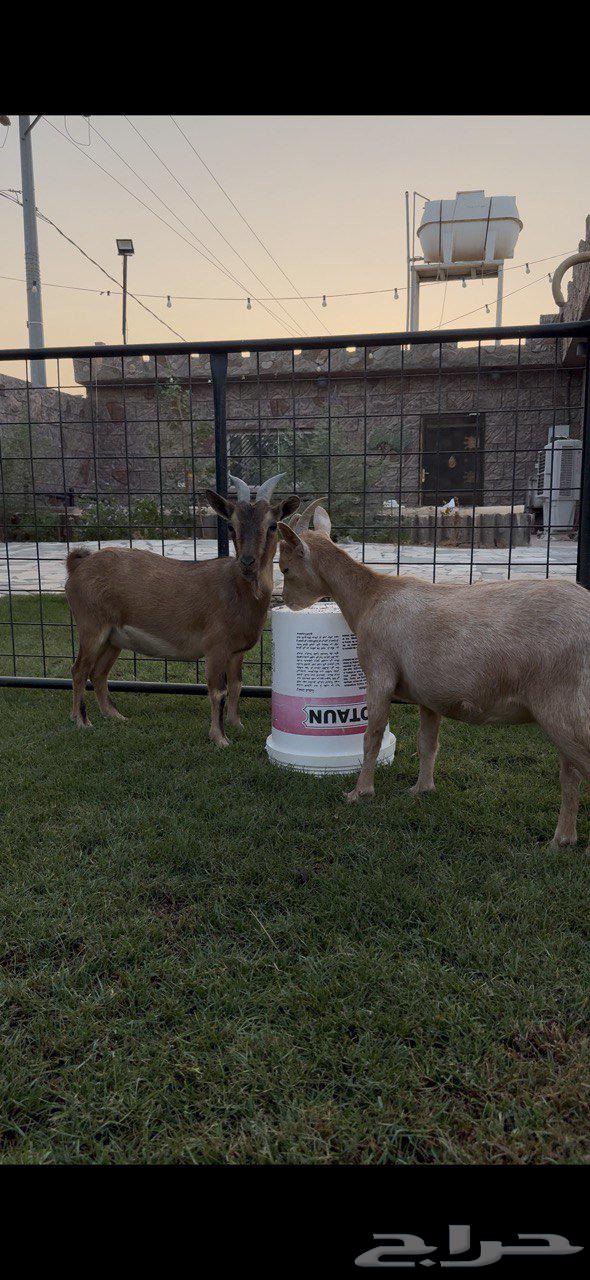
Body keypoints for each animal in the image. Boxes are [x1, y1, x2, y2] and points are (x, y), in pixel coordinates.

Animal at [65, 473, 299, 745]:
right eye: (231, 526)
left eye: (272, 526)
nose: (248, 562)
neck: (237, 589)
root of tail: (77, 568)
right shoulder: (216, 647)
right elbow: (218, 691)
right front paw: (220, 738)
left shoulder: (236, 651)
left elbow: (237, 685)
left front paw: (236, 724)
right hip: (91, 627)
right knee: (79, 670)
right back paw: (81, 721)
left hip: (113, 638)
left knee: (99, 673)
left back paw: (114, 715)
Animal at [279, 501, 590, 848]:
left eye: (285, 568)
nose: (287, 602)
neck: (371, 597)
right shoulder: (428, 695)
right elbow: (427, 742)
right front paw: (421, 789)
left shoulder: (379, 671)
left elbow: (372, 736)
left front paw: (360, 792)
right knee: (570, 773)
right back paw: (563, 839)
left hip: (563, 703)